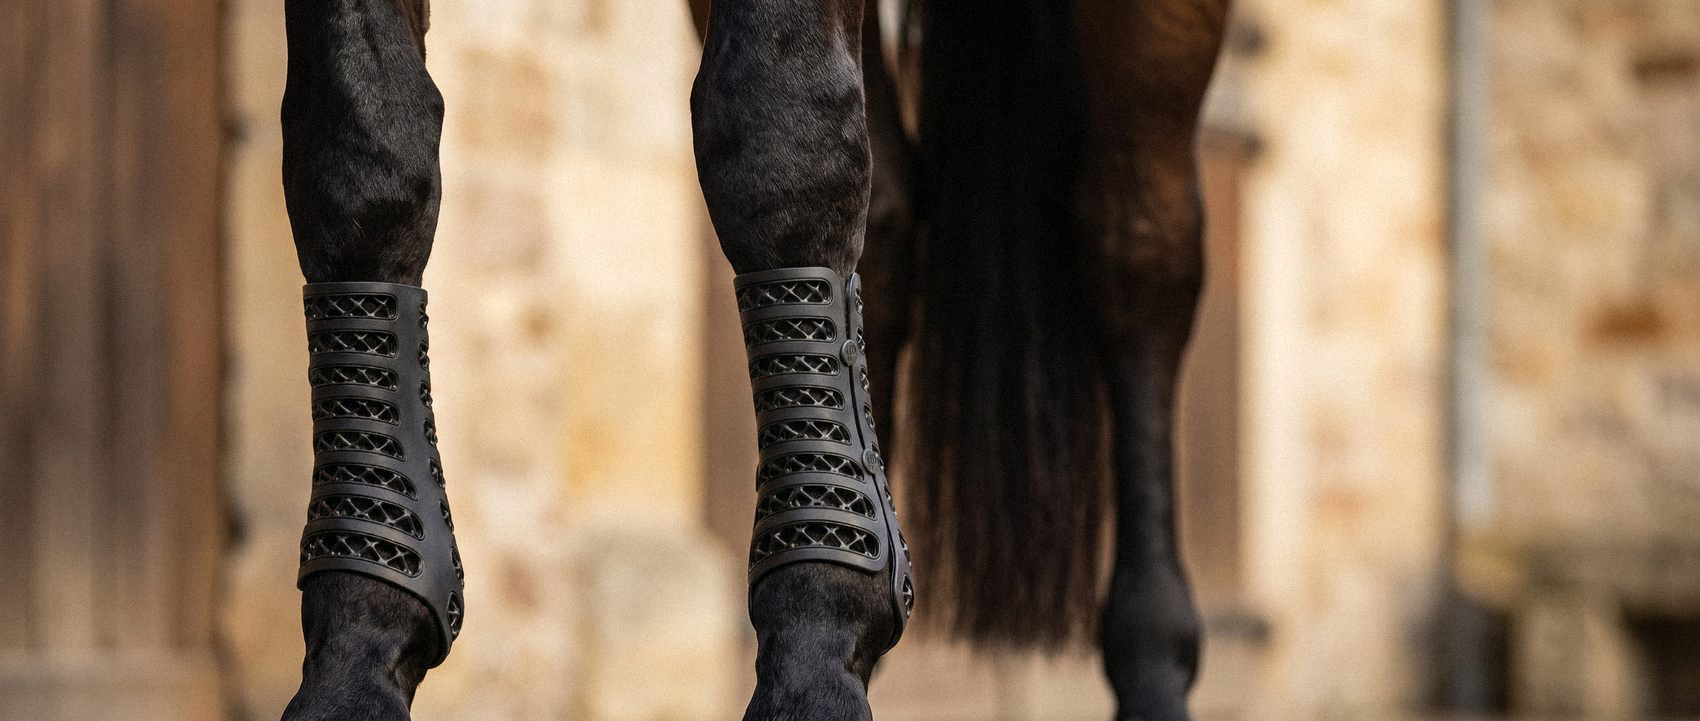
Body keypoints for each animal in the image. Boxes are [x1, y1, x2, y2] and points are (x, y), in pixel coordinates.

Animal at [277, 0, 1230, 719]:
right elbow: (359, 152)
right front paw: (356, 662)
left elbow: (782, 134)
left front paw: (815, 664)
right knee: (889, 225)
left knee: (1135, 241)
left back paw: (1151, 662)